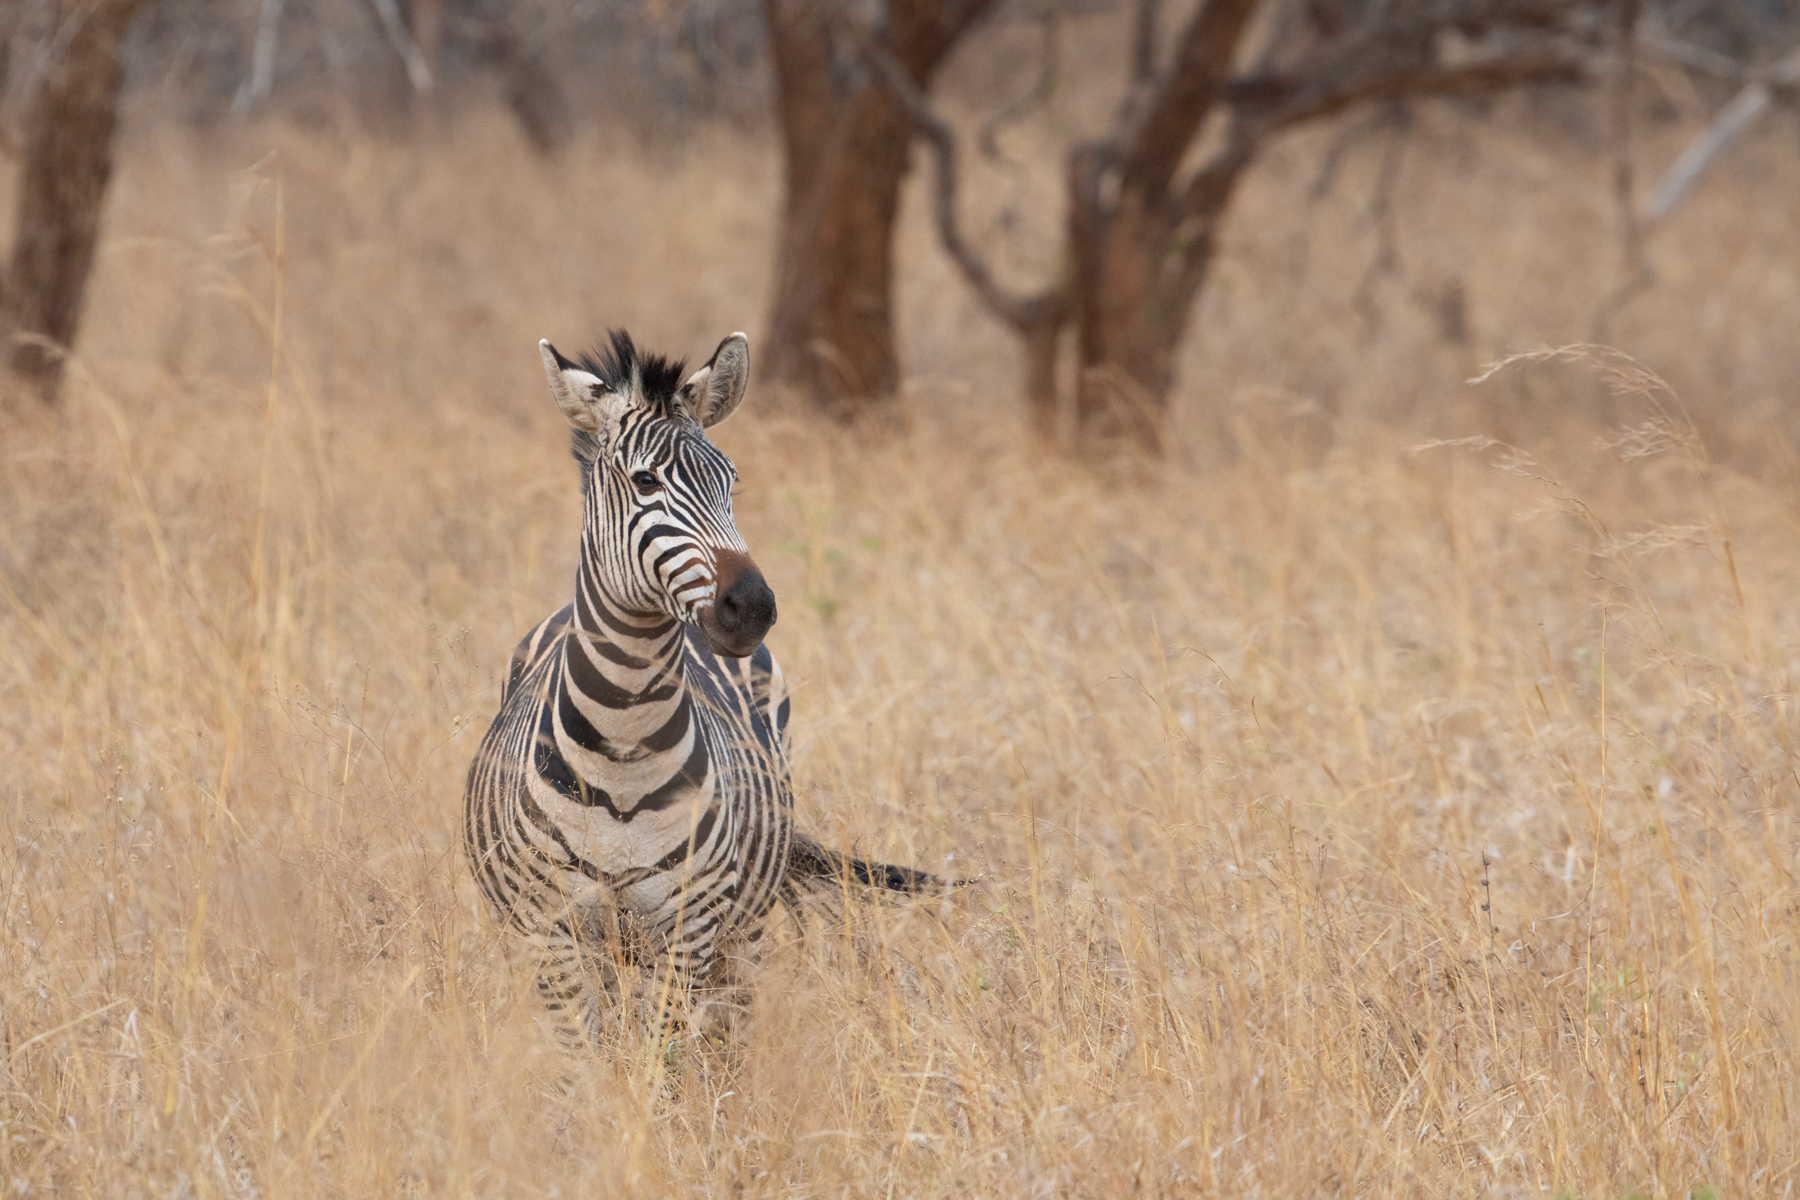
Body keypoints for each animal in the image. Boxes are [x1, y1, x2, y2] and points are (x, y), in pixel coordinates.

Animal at [464, 329, 937, 1050]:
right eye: (645, 481)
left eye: (730, 481)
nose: (752, 607)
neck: (622, 751)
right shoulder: (553, 934)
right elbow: (589, 1061)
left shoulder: (688, 930)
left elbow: (661, 1061)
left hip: (740, 933)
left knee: (725, 1032)